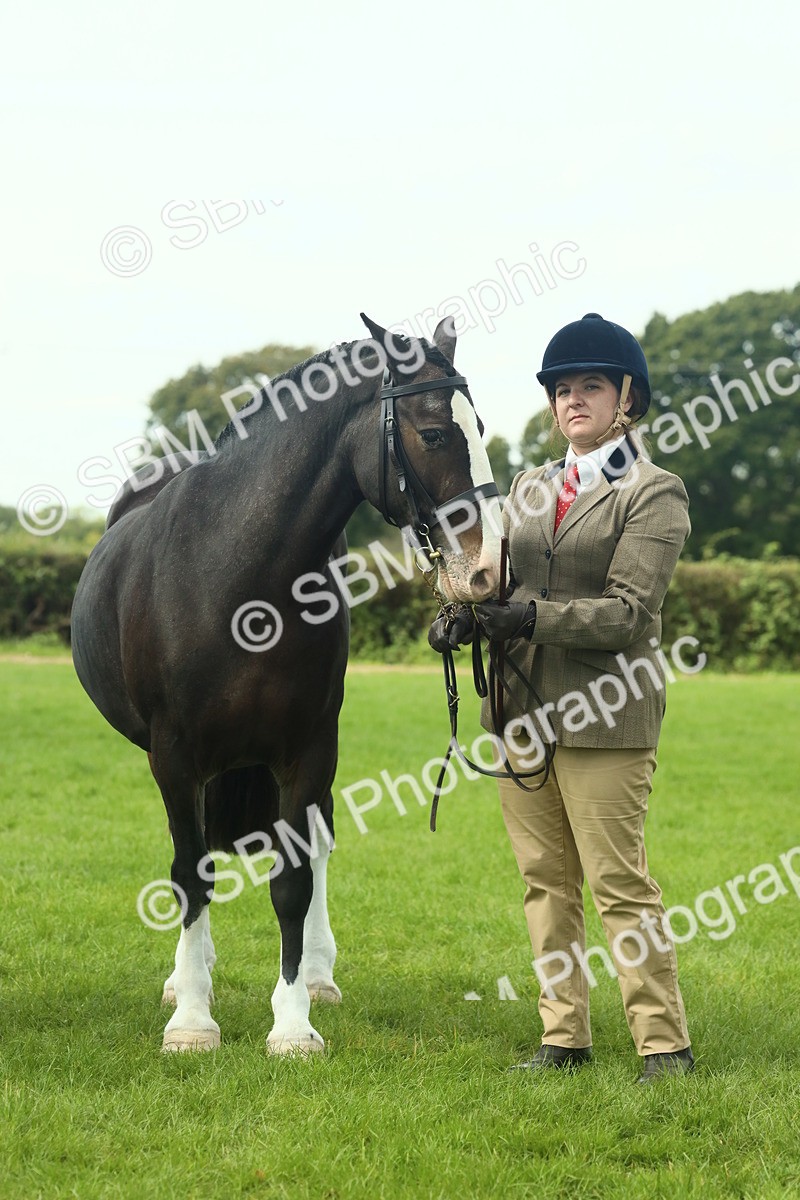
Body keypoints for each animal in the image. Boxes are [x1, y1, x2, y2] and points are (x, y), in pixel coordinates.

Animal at [71, 313, 502, 1054]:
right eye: (436, 433)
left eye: (479, 427)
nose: (489, 569)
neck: (243, 583)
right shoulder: (175, 755)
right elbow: (191, 874)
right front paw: (192, 1019)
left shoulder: (308, 749)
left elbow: (294, 882)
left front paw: (294, 1021)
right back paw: (189, 975)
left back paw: (318, 975)